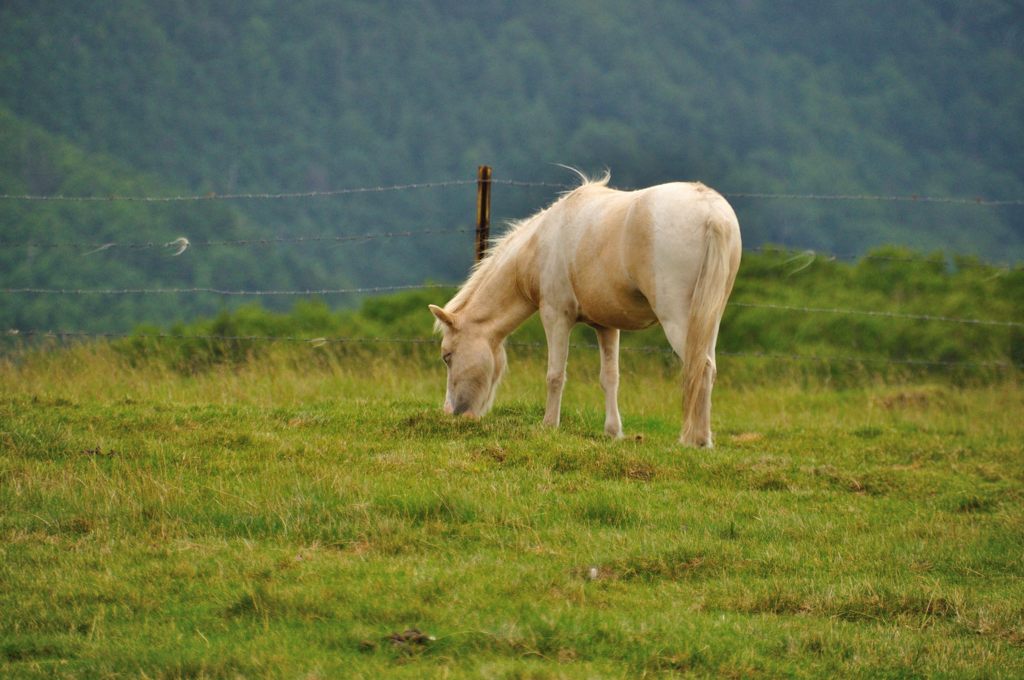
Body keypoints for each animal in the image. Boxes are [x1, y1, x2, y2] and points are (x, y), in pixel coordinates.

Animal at [428, 171, 741, 446]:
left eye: (447, 356)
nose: (452, 413)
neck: (540, 244)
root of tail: (712, 211)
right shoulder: (607, 326)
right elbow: (610, 379)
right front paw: (613, 432)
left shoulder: (555, 316)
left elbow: (555, 375)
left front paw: (549, 426)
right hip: (707, 320)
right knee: (708, 369)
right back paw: (703, 439)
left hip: (678, 321)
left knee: (699, 368)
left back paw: (694, 440)